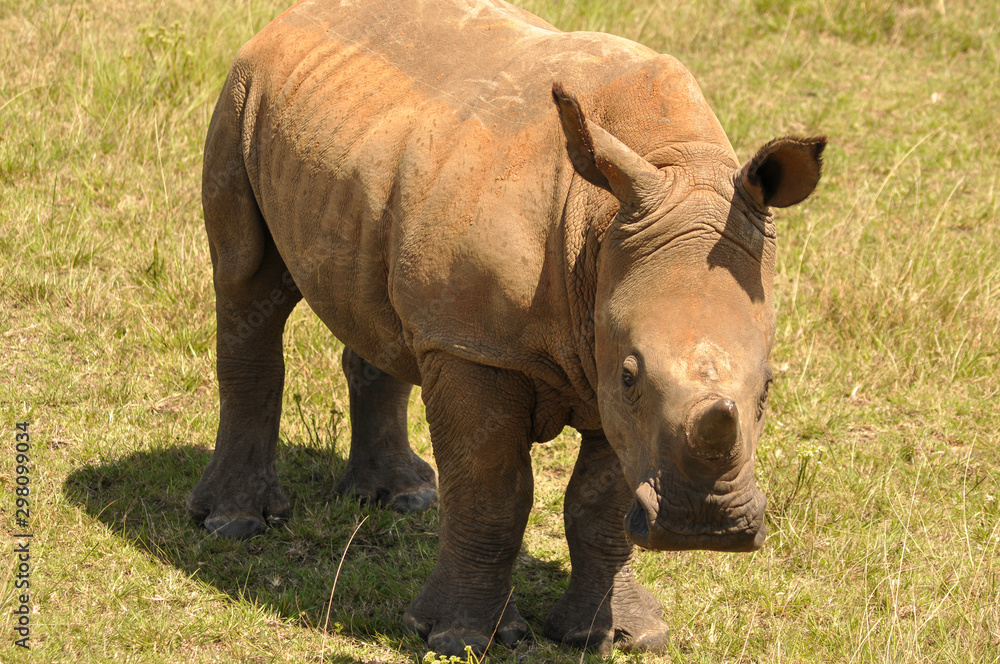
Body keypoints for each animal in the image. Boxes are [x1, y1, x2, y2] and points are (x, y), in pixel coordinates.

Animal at [188, 0, 825, 656]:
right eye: (630, 376)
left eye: (768, 387)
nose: (706, 525)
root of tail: (286, 19)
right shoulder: (476, 346)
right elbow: (492, 490)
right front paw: (458, 638)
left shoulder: (594, 349)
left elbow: (600, 501)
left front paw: (617, 636)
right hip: (242, 96)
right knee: (245, 281)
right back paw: (233, 523)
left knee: (385, 316)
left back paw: (404, 499)